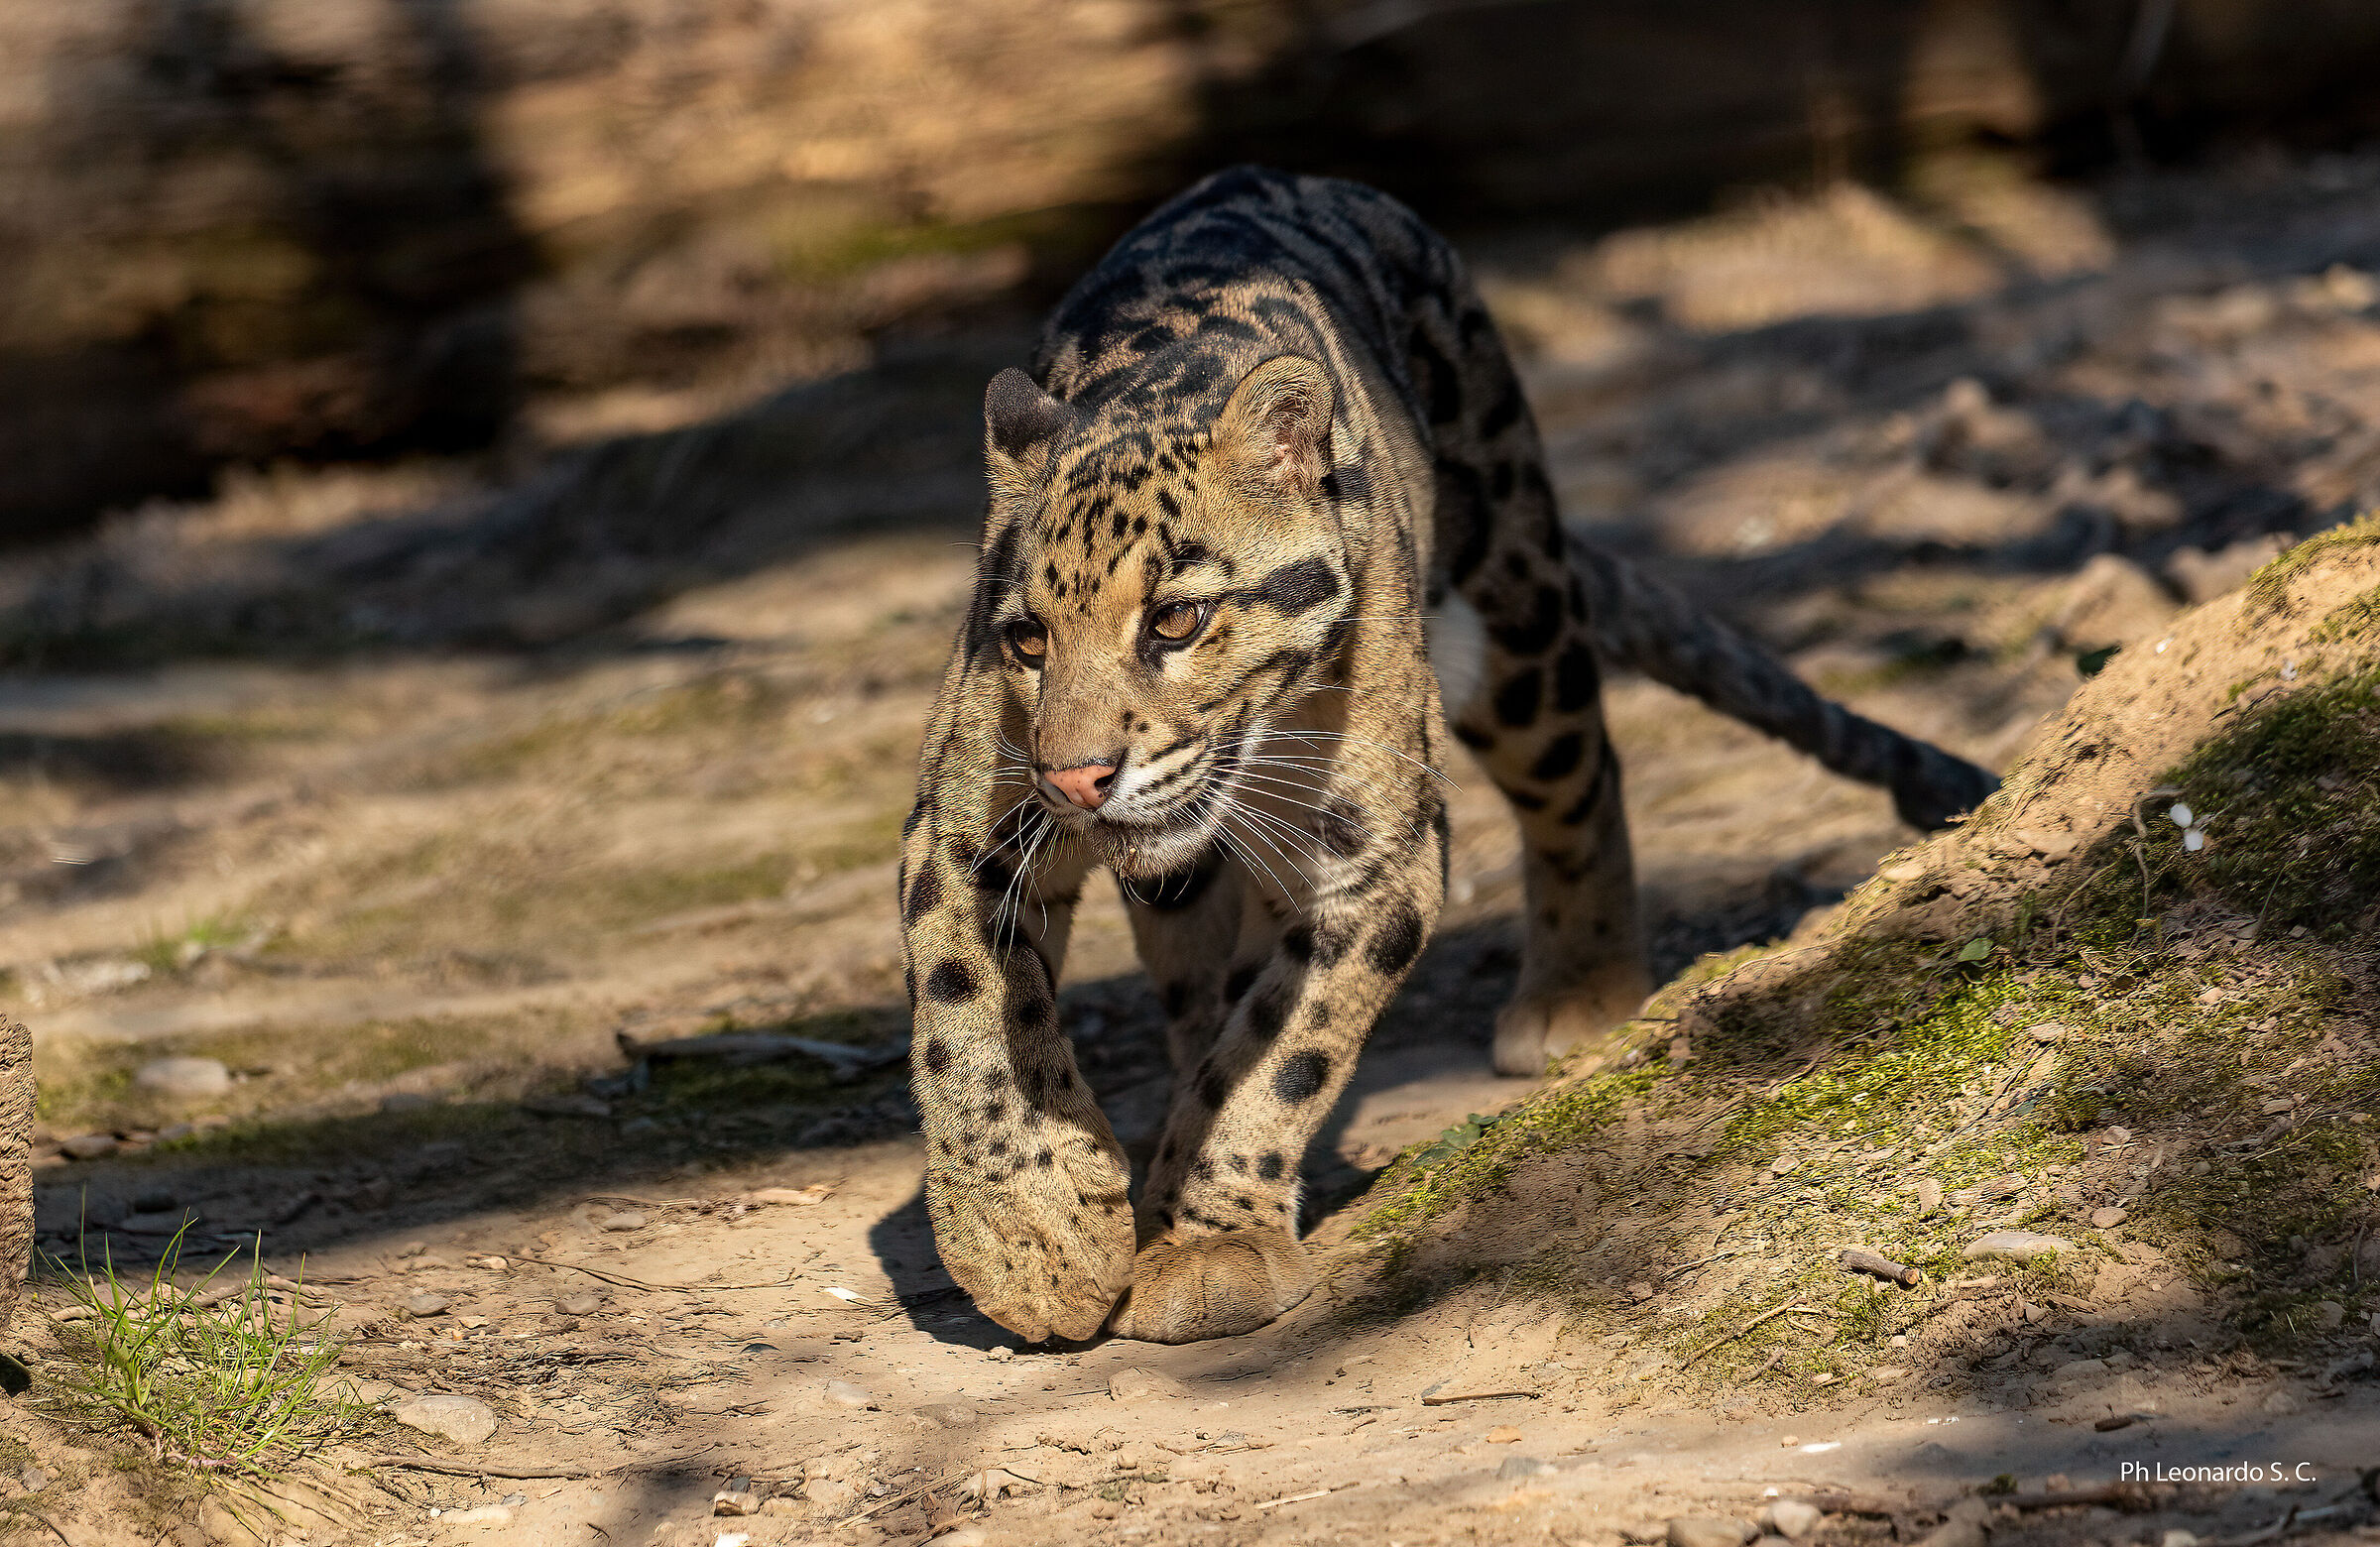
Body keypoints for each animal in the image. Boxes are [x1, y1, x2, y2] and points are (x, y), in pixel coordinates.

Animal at [897, 166, 1996, 1346]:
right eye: (1026, 640)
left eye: (1178, 620)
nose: (1075, 778)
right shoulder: (963, 820)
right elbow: (966, 1018)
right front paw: (1035, 1239)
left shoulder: (1376, 854)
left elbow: (1280, 1054)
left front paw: (1204, 1237)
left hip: (1516, 615)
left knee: (1580, 772)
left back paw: (1583, 991)